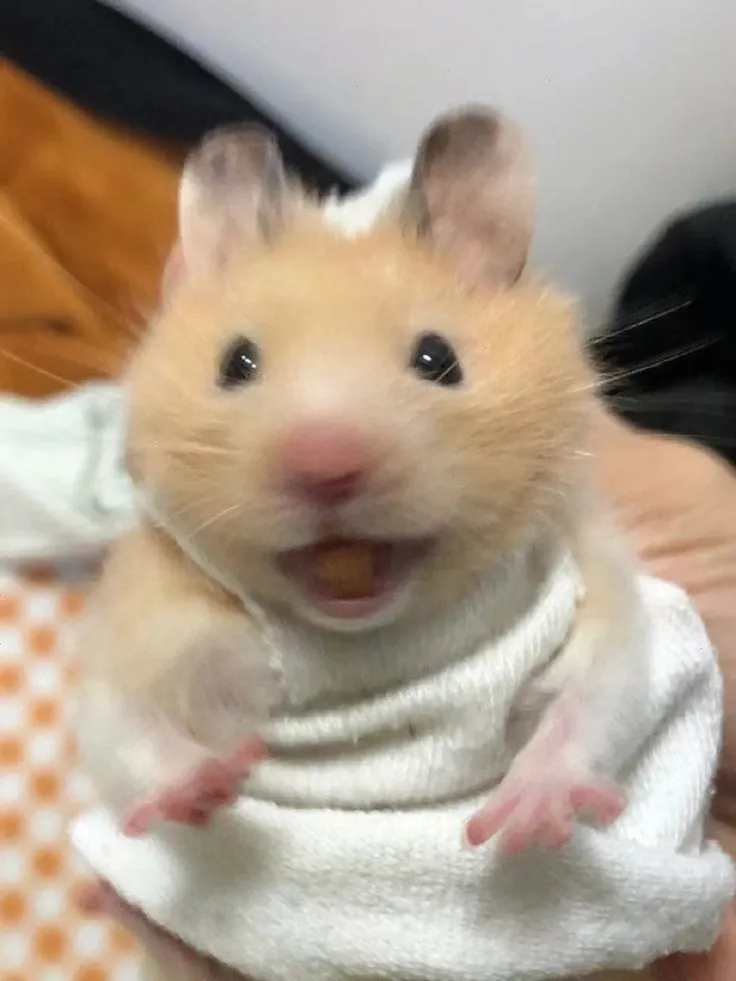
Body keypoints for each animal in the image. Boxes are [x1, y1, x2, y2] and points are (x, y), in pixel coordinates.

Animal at [75, 107, 650, 980]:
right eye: (236, 363)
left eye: (438, 359)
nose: (327, 463)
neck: (357, 634)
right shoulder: (142, 633)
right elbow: (127, 727)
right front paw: (209, 788)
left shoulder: (592, 593)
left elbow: (594, 702)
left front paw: (518, 822)